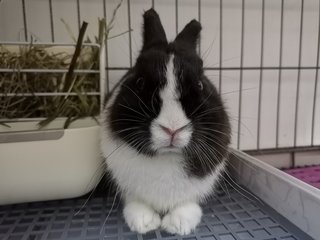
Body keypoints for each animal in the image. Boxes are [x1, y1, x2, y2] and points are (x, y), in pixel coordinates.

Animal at [100, 7, 230, 236]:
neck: (167, 157)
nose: (172, 128)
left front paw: (178, 225)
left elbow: (187, 203)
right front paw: (143, 223)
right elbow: (136, 201)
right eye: (140, 82)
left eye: (200, 84)